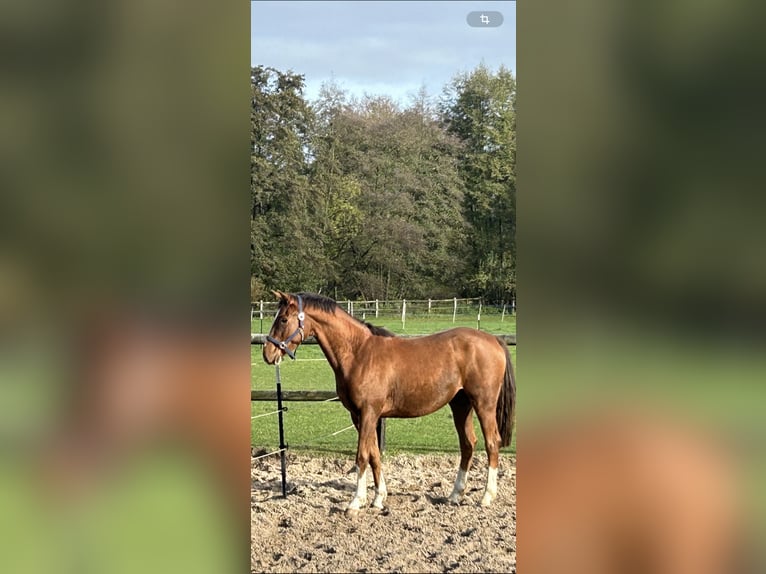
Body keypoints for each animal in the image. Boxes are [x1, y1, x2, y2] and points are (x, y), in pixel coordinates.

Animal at [260, 294, 520, 516]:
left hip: (483, 404)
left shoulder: (368, 413)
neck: (358, 353)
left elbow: (362, 456)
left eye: (283, 319)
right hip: (461, 405)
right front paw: (378, 499)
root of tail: (493, 340)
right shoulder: (360, 416)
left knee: (491, 443)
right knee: (468, 444)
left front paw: (356, 502)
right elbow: (375, 455)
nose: (267, 353)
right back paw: (455, 495)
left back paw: (487, 497)